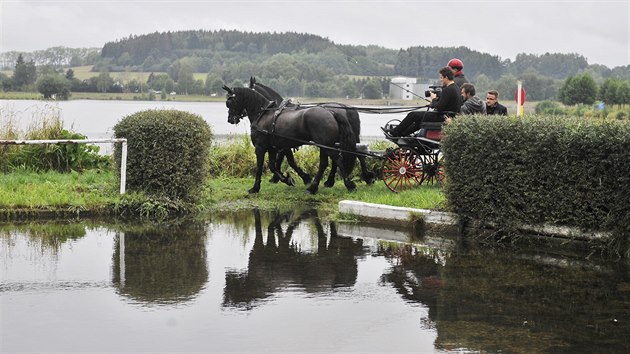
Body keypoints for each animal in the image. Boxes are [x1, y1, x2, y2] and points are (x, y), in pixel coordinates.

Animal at [225, 86, 358, 195]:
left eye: (230, 102)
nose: (230, 119)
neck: (263, 114)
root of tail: (331, 112)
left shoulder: (260, 147)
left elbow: (260, 168)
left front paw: (255, 188)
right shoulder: (273, 148)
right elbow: (274, 166)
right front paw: (288, 179)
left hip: (326, 145)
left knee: (337, 160)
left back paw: (348, 185)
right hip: (325, 145)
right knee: (325, 163)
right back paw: (314, 188)